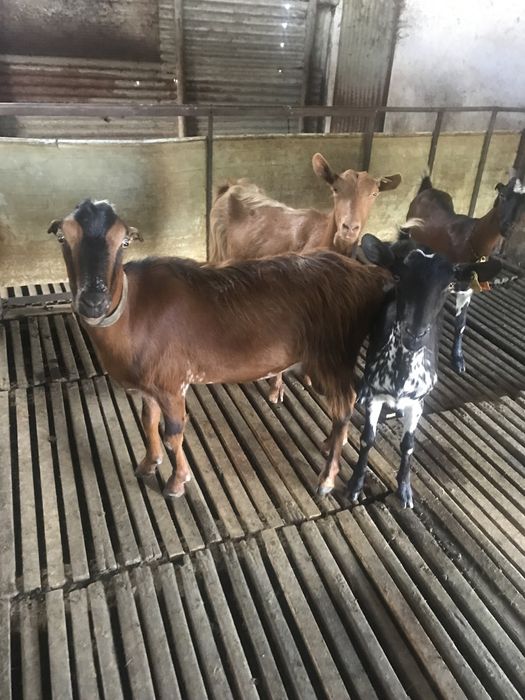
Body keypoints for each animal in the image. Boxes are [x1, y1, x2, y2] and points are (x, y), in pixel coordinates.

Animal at [48, 199, 391, 498]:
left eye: (125, 242)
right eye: (63, 237)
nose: (93, 301)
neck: (134, 311)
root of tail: (368, 276)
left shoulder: (172, 384)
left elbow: (173, 434)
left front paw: (177, 482)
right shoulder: (149, 386)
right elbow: (148, 422)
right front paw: (148, 464)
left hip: (335, 357)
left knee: (345, 407)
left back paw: (327, 480)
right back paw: (328, 444)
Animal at [346, 234, 501, 508]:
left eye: (448, 285)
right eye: (398, 277)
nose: (415, 334)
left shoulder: (417, 403)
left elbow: (408, 445)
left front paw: (405, 490)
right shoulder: (377, 396)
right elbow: (367, 438)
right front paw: (355, 486)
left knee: (461, 322)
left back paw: (458, 359)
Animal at [404, 173, 525, 372]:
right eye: (502, 196)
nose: (507, 227)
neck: (471, 237)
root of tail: (429, 188)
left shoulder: (466, 287)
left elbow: (461, 324)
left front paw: (458, 359)